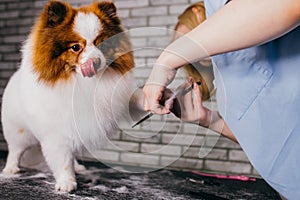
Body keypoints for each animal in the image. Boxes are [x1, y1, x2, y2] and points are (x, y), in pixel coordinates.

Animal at [0, 0, 135, 192]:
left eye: (102, 44)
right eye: (75, 47)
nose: (95, 62)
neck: (82, 82)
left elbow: (70, 154)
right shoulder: (57, 131)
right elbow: (62, 159)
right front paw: (66, 182)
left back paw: (78, 166)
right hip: (19, 131)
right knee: (15, 149)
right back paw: (11, 168)